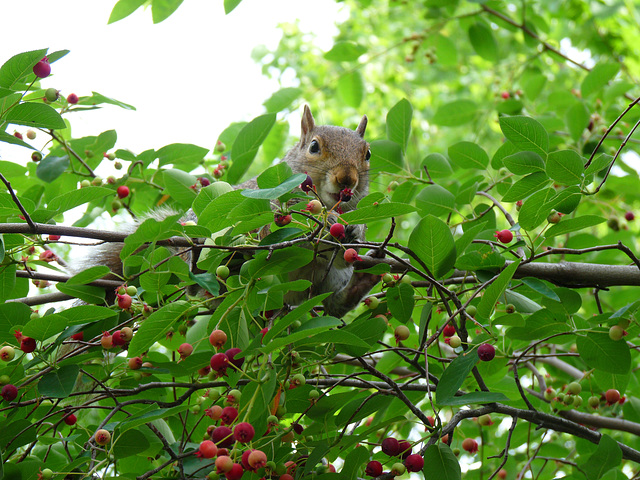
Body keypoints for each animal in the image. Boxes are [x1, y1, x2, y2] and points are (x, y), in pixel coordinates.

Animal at [82, 106, 378, 316]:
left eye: (368, 154)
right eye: (314, 147)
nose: (346, 179)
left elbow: (345, 255)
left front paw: (355, 229)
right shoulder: (269, 207)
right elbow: (276, 229)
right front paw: (328, 222)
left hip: (325, 283)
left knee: (334, 305)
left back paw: (362, 281)